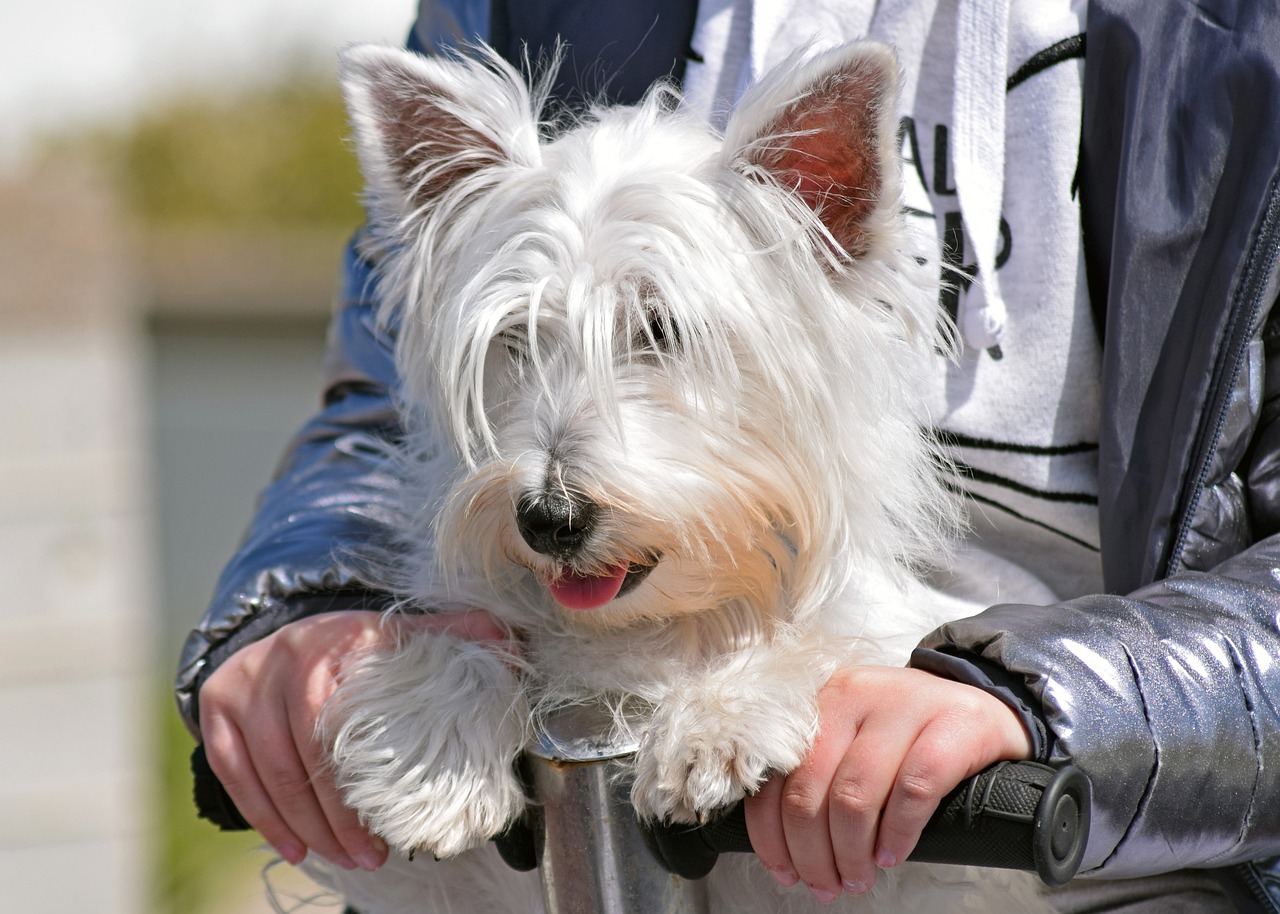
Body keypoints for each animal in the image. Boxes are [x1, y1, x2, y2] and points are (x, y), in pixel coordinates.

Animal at [304, 37, 1054, 911]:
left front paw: (720, 719)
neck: (655, 631)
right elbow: (462, 641)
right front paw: (430, 742)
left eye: (662, 328)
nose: (547, 518)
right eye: (516, 338)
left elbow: (842, 638)